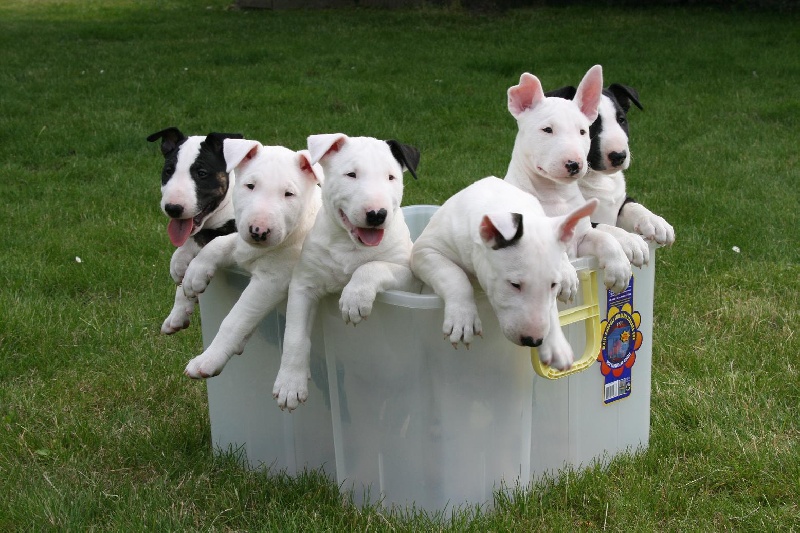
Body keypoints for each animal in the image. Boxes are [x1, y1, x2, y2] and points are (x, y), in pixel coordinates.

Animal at [145, 127, 242, 332]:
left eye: (202, 173)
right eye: (168, 171)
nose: (173, 208)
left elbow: (218, 242)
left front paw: (195, 272)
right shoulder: (207, 230)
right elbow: (197, 238)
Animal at [181, 139, 322, 376]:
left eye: (289, 194)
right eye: (250, 186)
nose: (258, 231)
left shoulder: (271, 280)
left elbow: (236, 319)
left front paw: (208, 360)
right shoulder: (244, 247)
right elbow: (220, 243)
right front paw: (194, 274)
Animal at [412, 177, 592, 368]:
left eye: (553, 285)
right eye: (514, 284)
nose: (533, 341)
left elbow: (549, 307)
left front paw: (557, 346)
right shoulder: (424, 251)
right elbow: (454, 275)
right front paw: (462, 319)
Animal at [548, 84, 672, 246]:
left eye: (621, 120)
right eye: (591, 125)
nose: (619, 156)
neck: (595, 177)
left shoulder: (619, 202)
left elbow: (632, 204)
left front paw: (655, 222)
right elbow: (599, 225)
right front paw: (629, 240)